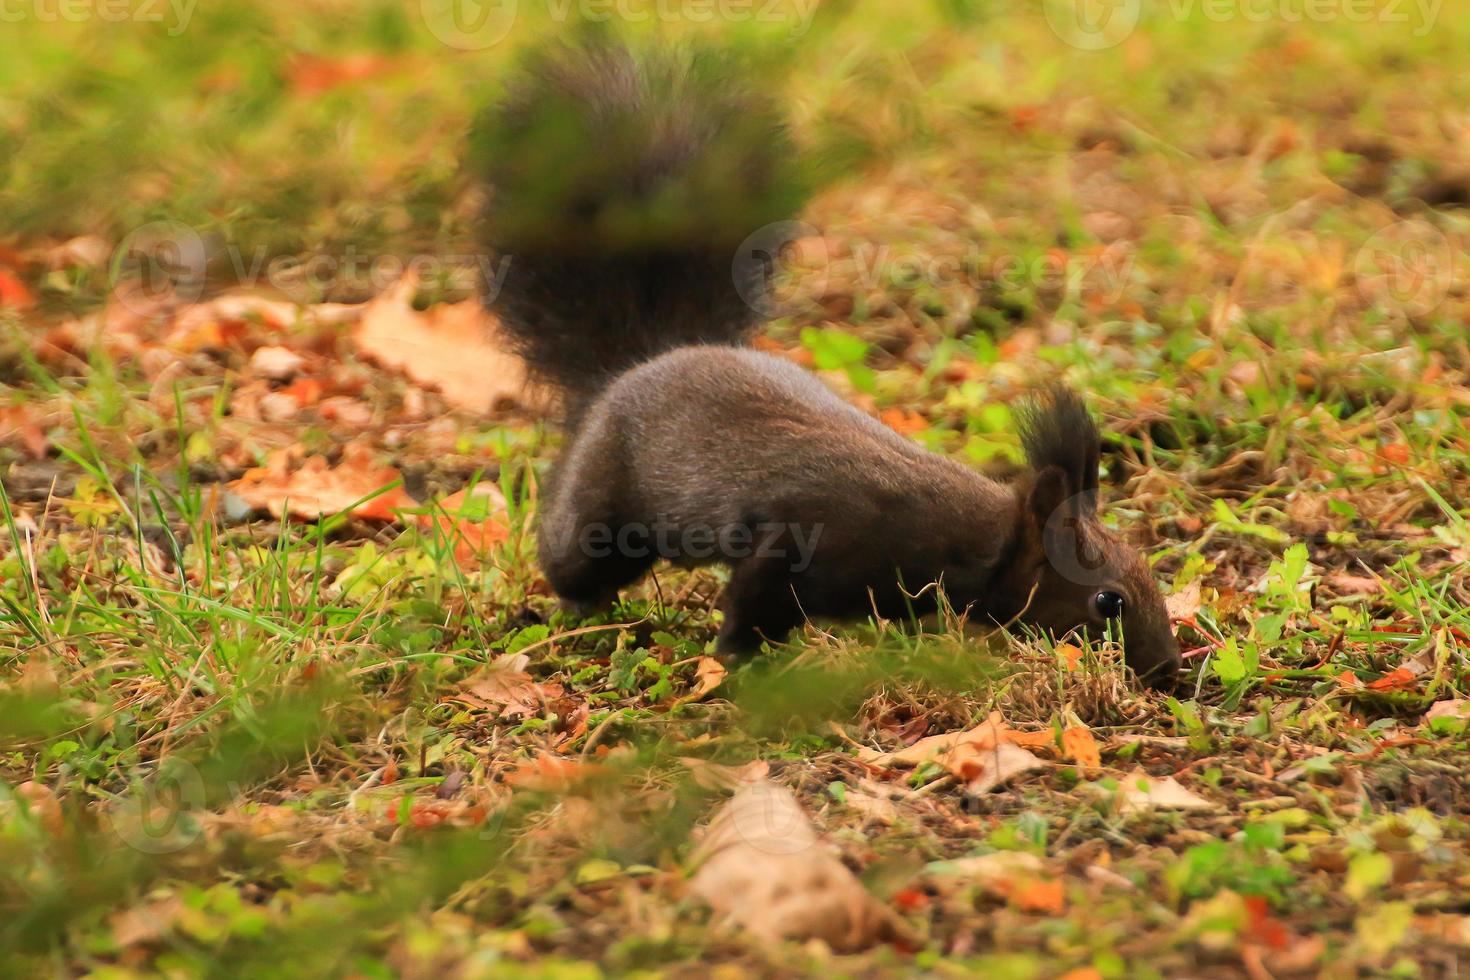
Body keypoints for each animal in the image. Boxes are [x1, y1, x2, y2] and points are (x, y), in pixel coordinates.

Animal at [476, 40, 1187, 690]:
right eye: (1109, 602)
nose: (1169, 672)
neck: (979, 539)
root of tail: (642, 360)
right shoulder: (805, 536)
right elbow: (753, 601)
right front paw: (737, 661)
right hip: (602, 503)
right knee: (575, 555)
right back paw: (577, 610)